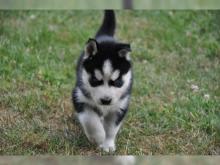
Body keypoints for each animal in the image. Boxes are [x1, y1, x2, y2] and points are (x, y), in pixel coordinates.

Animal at [72, 10, 132, 152]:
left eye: (117, 82)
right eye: (95, 80)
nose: (106, 100)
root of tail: (106, 36)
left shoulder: (120, 106)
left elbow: (111, 128)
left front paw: (108, 144)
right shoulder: (79, 97)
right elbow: (90, 120)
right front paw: (98, 137)